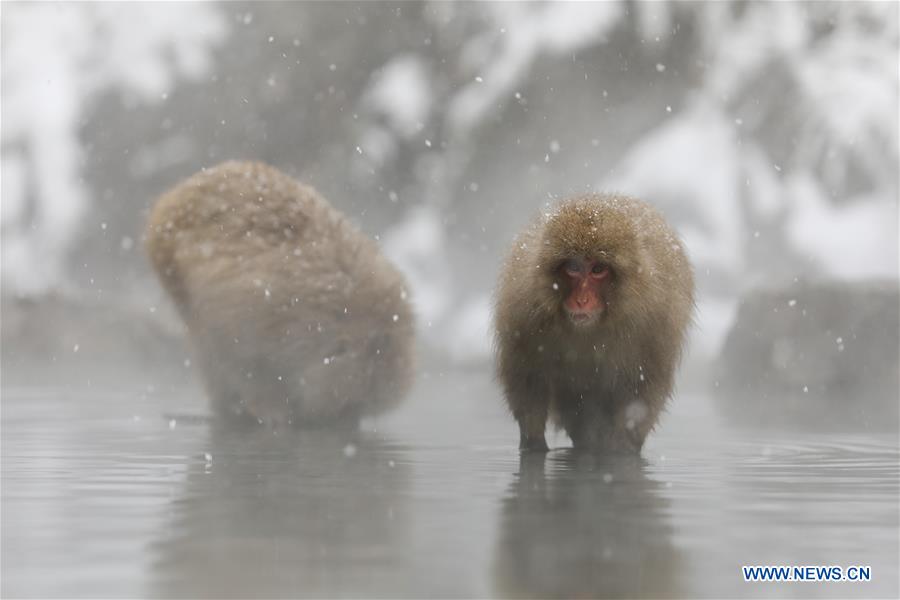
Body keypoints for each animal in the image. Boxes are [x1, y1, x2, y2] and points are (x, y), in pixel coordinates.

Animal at [145, 160, 415, 429]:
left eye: (362, 405)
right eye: (351, 403)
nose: (350, 423)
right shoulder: (250, 322)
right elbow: (245, 366)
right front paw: (275, 413)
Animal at [493, 194, 694, 453]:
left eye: (598, 269)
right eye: (573, 268)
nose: (582, 299)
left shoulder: (655, 324)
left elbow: (643, 388)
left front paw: (621, 449)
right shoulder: (523, 313)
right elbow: (527, 379)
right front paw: (533, 443)